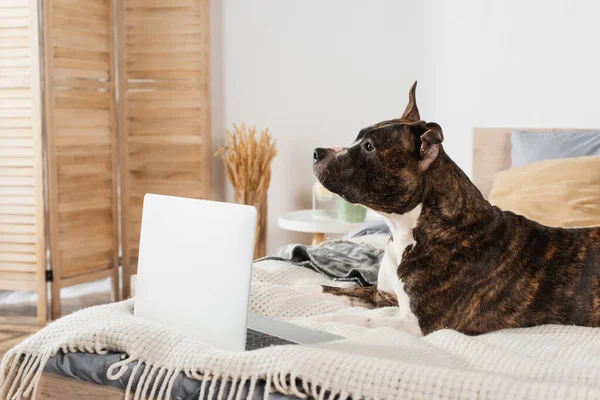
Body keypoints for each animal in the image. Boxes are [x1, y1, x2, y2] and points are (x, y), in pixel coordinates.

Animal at [314, 81, 600, 334]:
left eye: (369, 147)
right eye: (358, 138)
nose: (317, 152)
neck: (408, 229)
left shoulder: (416, 324)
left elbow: (358, 319)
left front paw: (325, 319)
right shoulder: (382, 294)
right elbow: (328, 289)